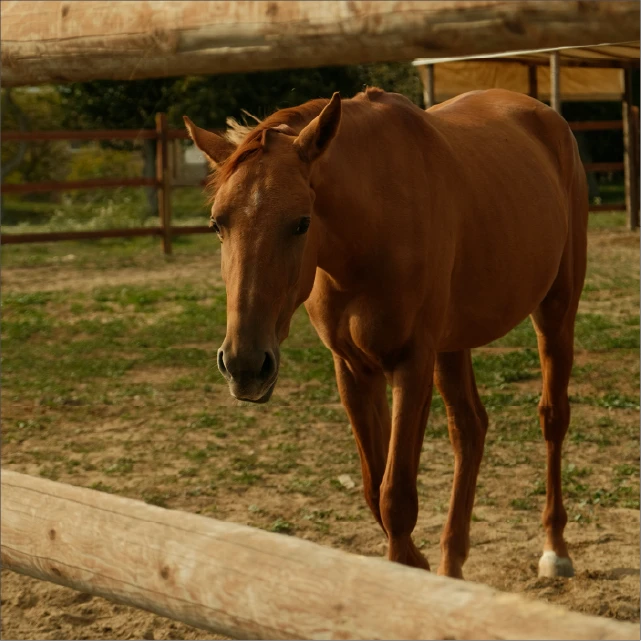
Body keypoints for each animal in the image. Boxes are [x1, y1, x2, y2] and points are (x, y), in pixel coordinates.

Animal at [184, 86, 588, 580]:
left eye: (301, 222)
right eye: (217, 223)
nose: (244, 365)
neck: (371, 231)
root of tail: (542, 114)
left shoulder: (411, 365)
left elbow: (396, 498)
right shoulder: (354, 369)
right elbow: (374, 491)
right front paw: (416, 565)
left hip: (556, 312)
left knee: (552, 418)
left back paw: (555, 549)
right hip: (452, 345)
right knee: (469, 429)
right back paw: (451, 562)